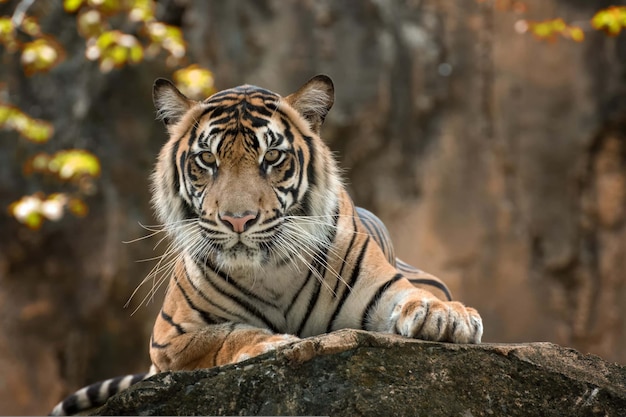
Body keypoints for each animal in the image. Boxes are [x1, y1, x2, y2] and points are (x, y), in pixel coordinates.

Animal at [51, 75, 480, 416]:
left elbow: (416, 299)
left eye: (272, 156)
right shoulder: (169, 340)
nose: (238, 220)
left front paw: (447, 317)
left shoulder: (383, 288)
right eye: (206, 159)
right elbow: (225, 335)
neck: (271, 271)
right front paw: (274, 344)